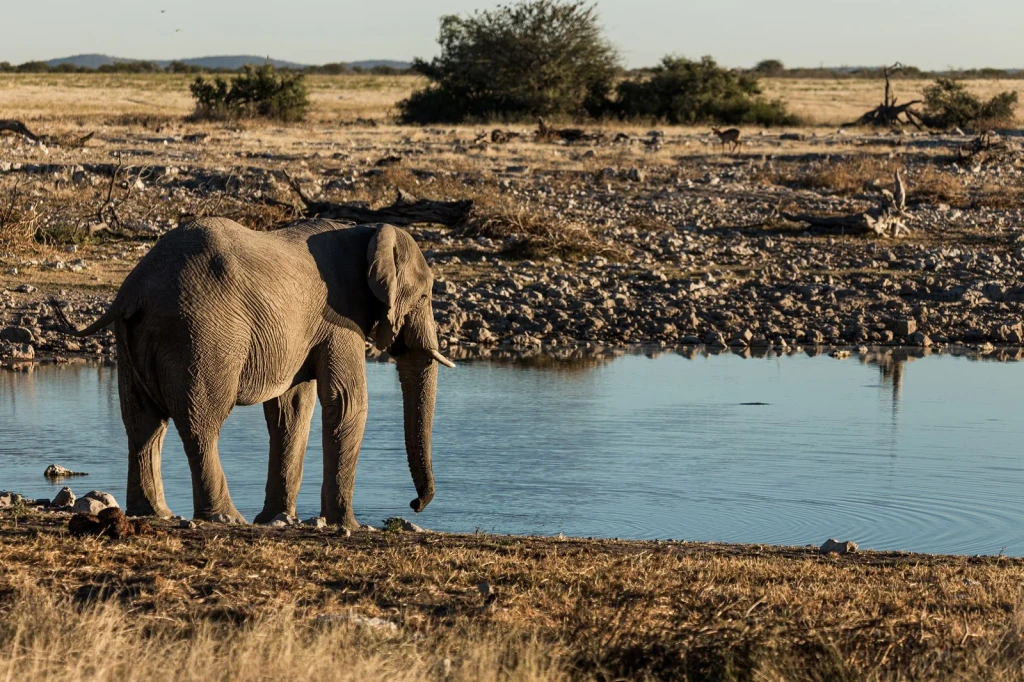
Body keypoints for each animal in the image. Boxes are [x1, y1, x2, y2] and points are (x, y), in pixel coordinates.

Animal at [52, 218, 454, 528]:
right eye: (425, 297)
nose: (414, 505)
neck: (367, 232)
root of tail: (132, 291)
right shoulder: (340, 319)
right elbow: (346, 402)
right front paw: (350, 525)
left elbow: (291, 410)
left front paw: (279, 519)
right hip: (201, 335)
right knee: (201, 422)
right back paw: (226, 518)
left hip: (131, 340)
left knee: (142, 424)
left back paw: (156, 514)